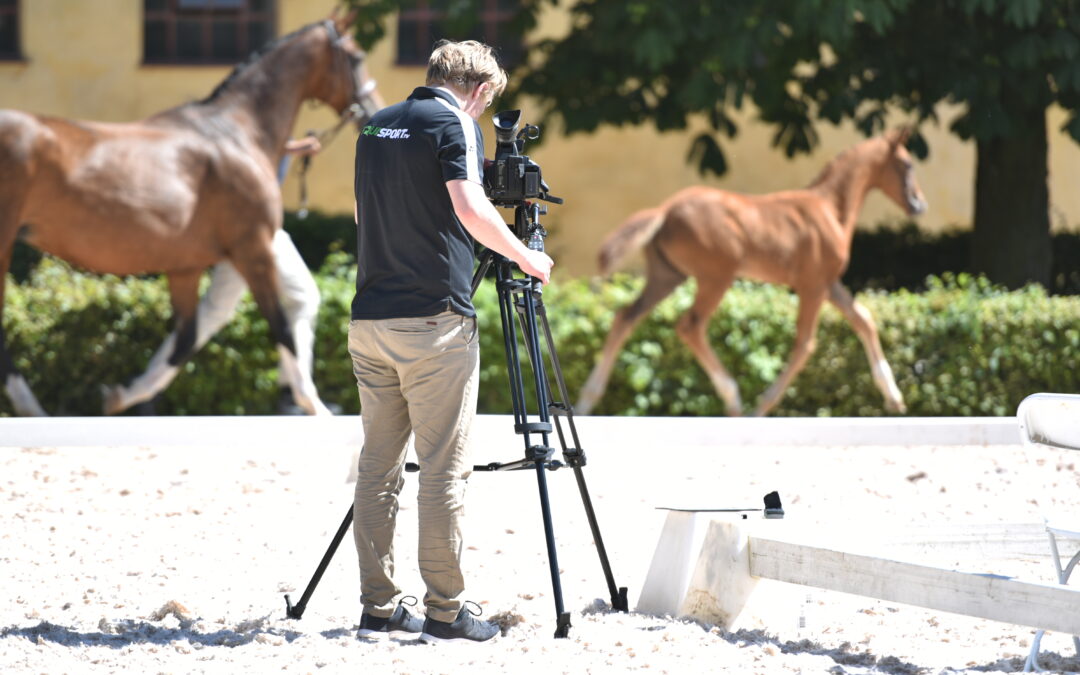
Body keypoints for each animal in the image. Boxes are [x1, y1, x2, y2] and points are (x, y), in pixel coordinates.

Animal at [0, 7, 384, 412]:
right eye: (357, 57)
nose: (374, 111)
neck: (236, 134)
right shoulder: (254, 249)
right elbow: (281, 329)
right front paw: (315, 406)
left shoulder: (185, 265)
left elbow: (185, 339)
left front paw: (122, 396)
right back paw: (30, 407)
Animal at [578, 129, 924, 416]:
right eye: (907, 164)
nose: (919, 204)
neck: (830, 209)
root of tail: (664, 210)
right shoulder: (812, 285)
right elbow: (806, 343)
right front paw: (762, 406)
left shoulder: (829, 282)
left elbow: (863, 319)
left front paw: (894, 399)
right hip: (716, 277)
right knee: (690, 325)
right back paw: (733, 399)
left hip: (667, 276)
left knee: (625, 317)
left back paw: (586, 401)